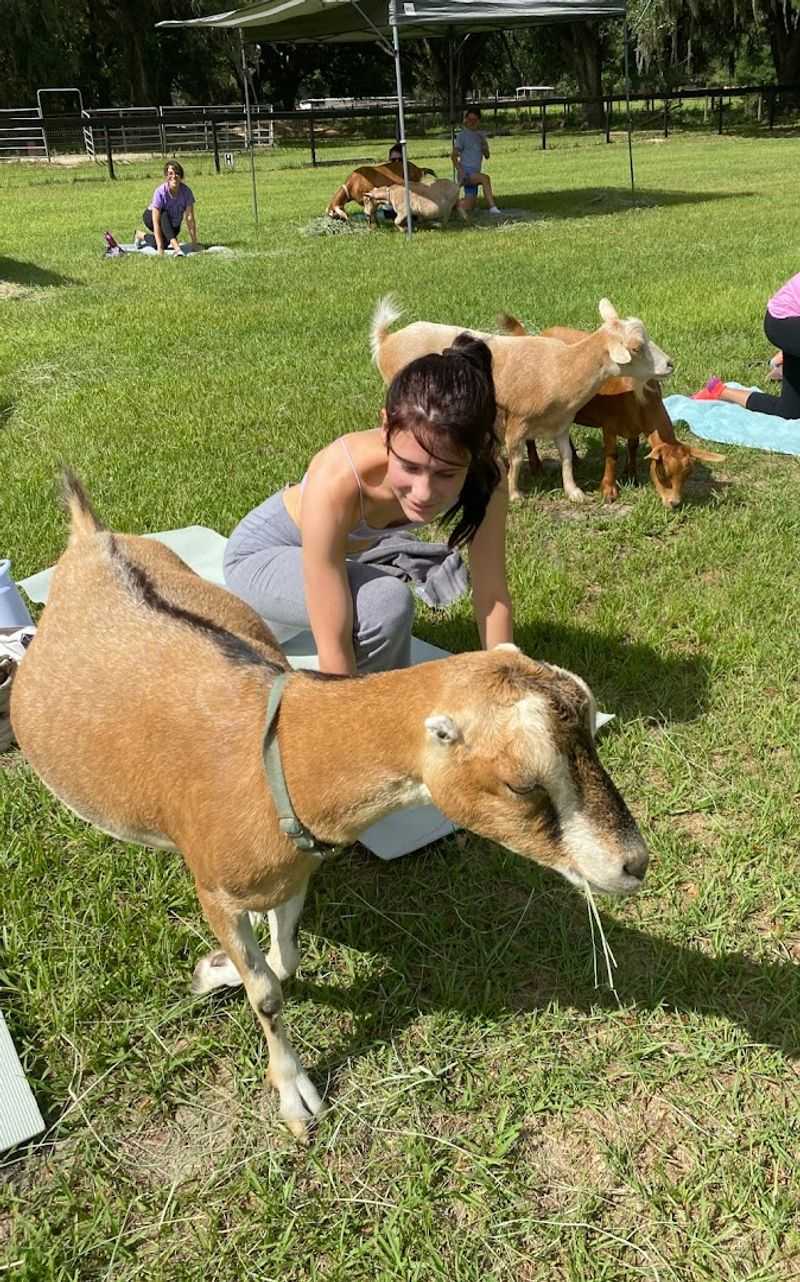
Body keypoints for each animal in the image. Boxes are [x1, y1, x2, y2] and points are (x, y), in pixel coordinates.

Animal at [11, 473, 649, 1139]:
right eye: (523, 783)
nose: (635, 863)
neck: (279, 754)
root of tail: (91, 538)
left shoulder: (296, 868)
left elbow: (285, 959)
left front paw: (214, 971)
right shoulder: (214, 888)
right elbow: (266, 991)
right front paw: (295, 1095)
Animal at [371, 296, 674, 503]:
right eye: (636, 348)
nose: (670, 364)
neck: (563, 366)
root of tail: (387, 339)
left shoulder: (561, 423)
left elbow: (566, 457)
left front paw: (574, 491)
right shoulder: (518, 421)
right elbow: (516, 459)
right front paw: (515, 494)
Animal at [502, 317, 723, 508]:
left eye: (687, 475)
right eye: (662, 473)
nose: (674, 503)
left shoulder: (635, 425)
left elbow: (633, 446)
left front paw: (631, 475)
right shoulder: (609, 425)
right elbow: (611, 455)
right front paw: (608, 489)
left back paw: (575, 458)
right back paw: (536, 465)